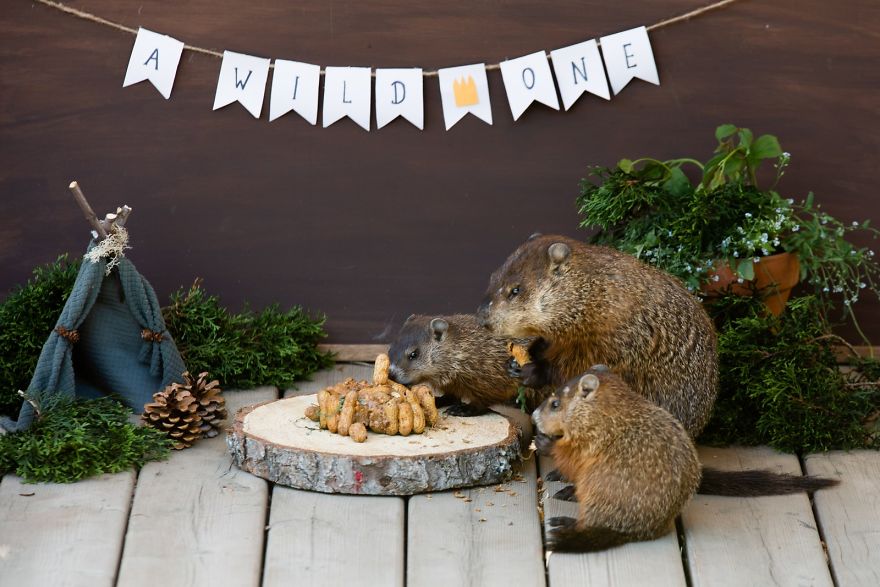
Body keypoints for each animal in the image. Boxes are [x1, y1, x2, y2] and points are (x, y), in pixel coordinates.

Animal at [387, 314, 539, 416]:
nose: (391, 375)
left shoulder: (487, 370)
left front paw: (464, 408)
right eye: (390, 349)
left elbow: (488, 394)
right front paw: (438, 400)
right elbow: (451, 393)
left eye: (414, 354)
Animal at [478, 233, 719, 438]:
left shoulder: (610, 333)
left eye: (516, 290)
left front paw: (534, 370)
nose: (481, 317)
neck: (595, 295)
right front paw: (520, 359)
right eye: (492, 277)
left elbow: (584, 365)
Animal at [533, 366, 839, 553]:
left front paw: (548, 443)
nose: (535, 415)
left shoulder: (592, 438)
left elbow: (574, 456)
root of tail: (636, 530)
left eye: (555, 404)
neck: (607, 411)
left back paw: (567, 522)